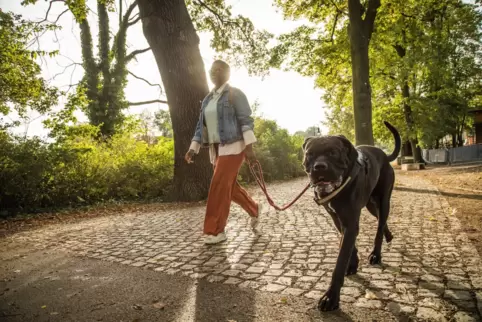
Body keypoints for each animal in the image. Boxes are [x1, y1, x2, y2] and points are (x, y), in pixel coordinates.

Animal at [304, 121, 402, 312]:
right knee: (381, 220)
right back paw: (389, 236)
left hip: (384, 200)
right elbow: (349, 245)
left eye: (333, 153)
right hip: (371, 204)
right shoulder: (338, 219)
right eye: (309, 154)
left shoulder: (350, 221)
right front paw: (353, 264)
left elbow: (340, 260)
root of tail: (384, 155)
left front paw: (331, 297)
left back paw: (376, 254)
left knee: (380, 225)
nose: (319, 167)